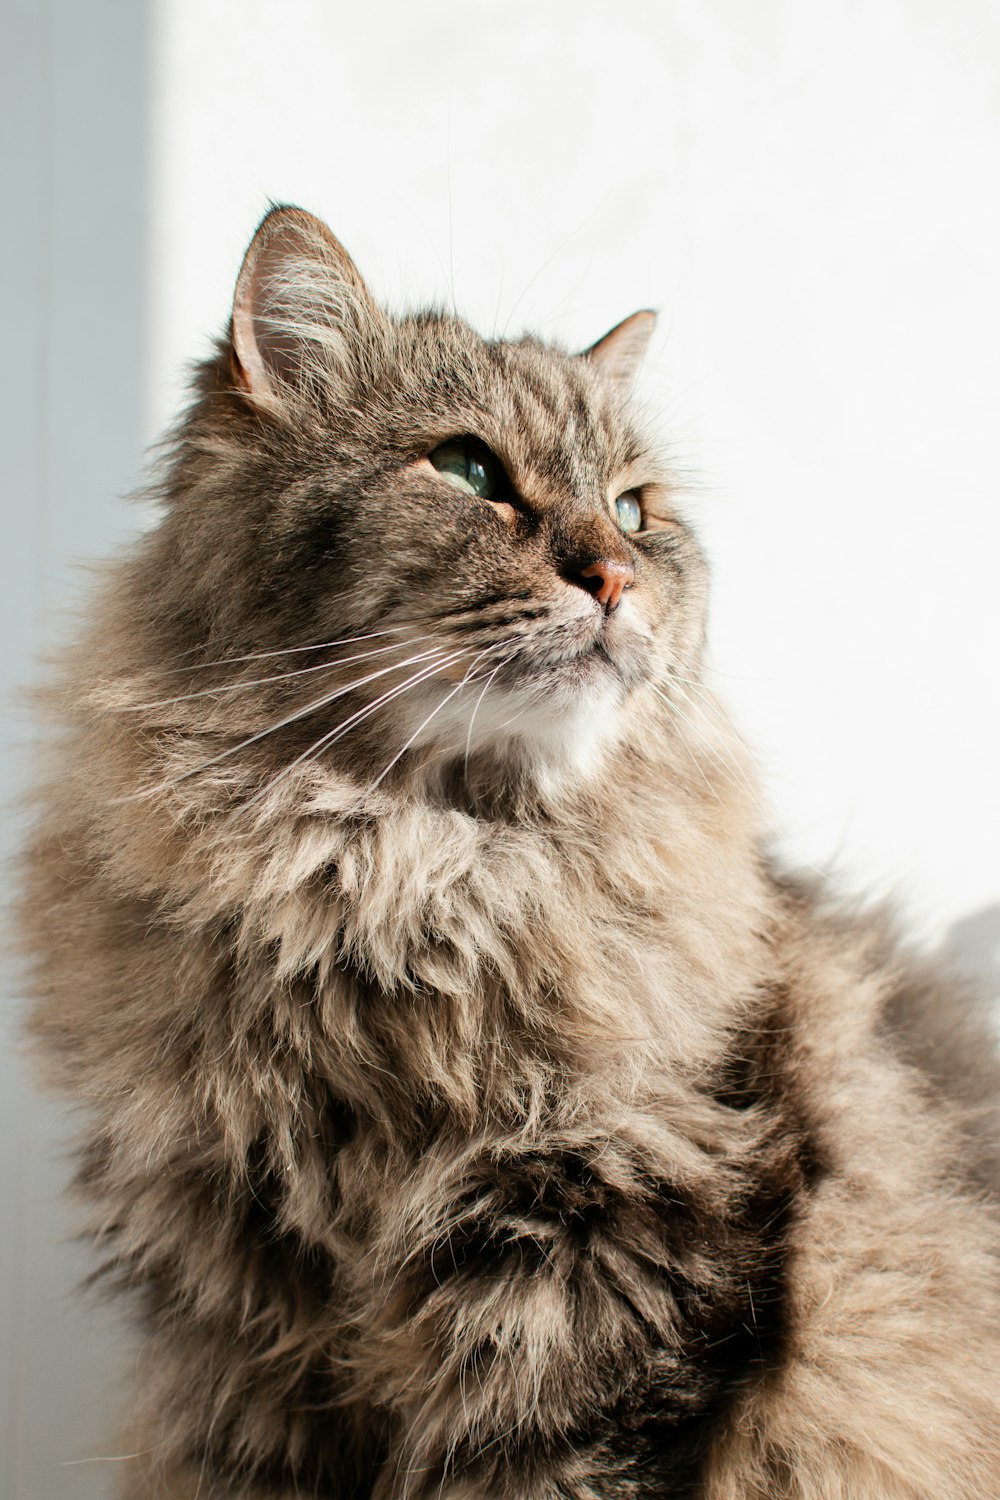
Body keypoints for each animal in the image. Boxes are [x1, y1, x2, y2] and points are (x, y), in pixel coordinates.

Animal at [17, 202, 1000, 1500]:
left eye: (634, 510)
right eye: (470, 471)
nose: (614, 575)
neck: (407, 887)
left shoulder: (607, 1262)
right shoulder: (243, 1316)